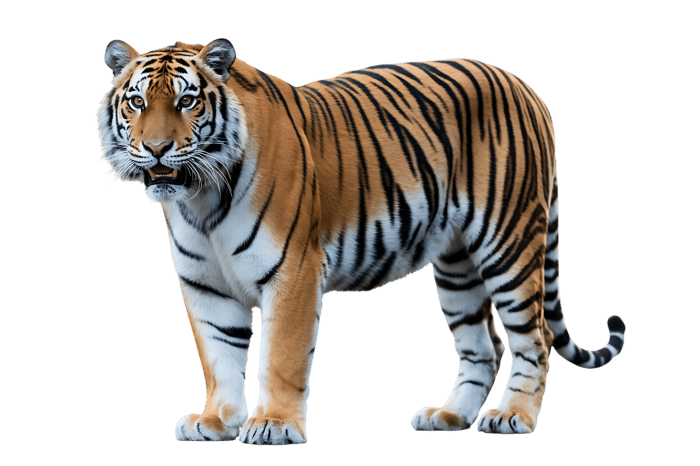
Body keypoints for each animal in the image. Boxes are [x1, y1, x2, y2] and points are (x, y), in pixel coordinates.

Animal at [97, 38, 626, 445]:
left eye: (186, 101)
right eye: (137, 103)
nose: (156, 149)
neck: (201, 200)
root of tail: (526, 88)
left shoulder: (292, 270)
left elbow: (281, 355)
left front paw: (273, 425)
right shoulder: (205, 285)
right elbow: (219, 356)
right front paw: (216, 422)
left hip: (508, 245)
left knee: (533, 338)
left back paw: (514, 416)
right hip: (457, 265)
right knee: (484, 346)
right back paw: (449, 416)